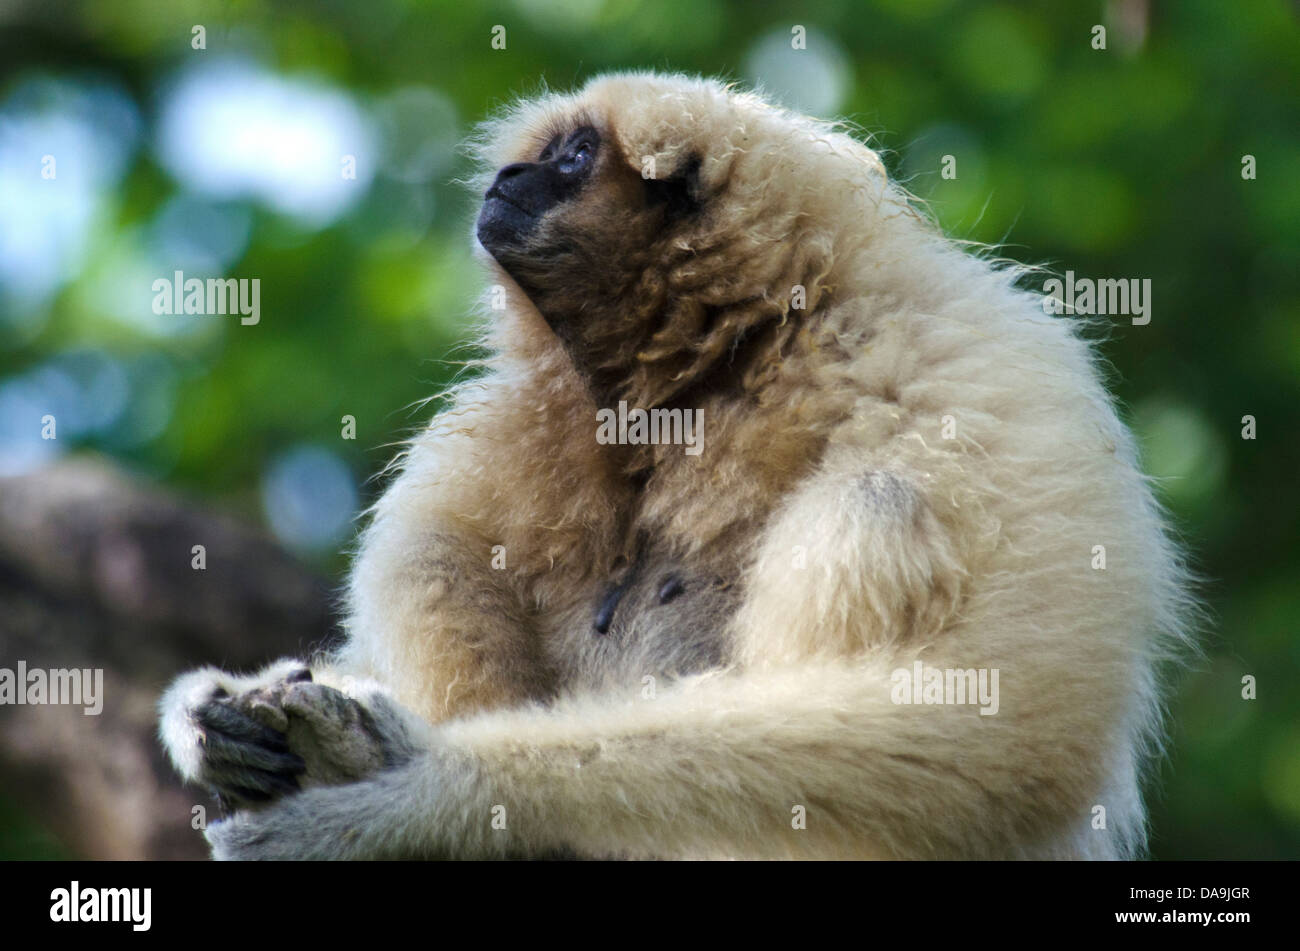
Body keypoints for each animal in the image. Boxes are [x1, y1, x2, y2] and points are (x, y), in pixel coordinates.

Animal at [159, 71, 1194, 860]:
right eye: (549, 150)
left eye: (575, 157)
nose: (510, 177)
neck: (726, 373)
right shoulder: (510, 434)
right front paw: (214, 718)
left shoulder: (976, 369)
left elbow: (999, 735)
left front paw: (421, 800)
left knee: (878, 501)